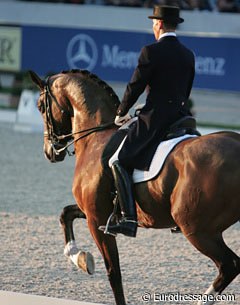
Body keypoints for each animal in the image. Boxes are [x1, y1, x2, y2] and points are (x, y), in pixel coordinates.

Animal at [29, 69, 239, 304]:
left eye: (40, 106)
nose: (50, 152)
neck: (96, 136)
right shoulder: (99, 212)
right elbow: (65, 214)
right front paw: (81, 258)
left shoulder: (96, 219)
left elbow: (114, 272)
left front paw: (84, 260)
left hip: (197, 229)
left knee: (229, 266)